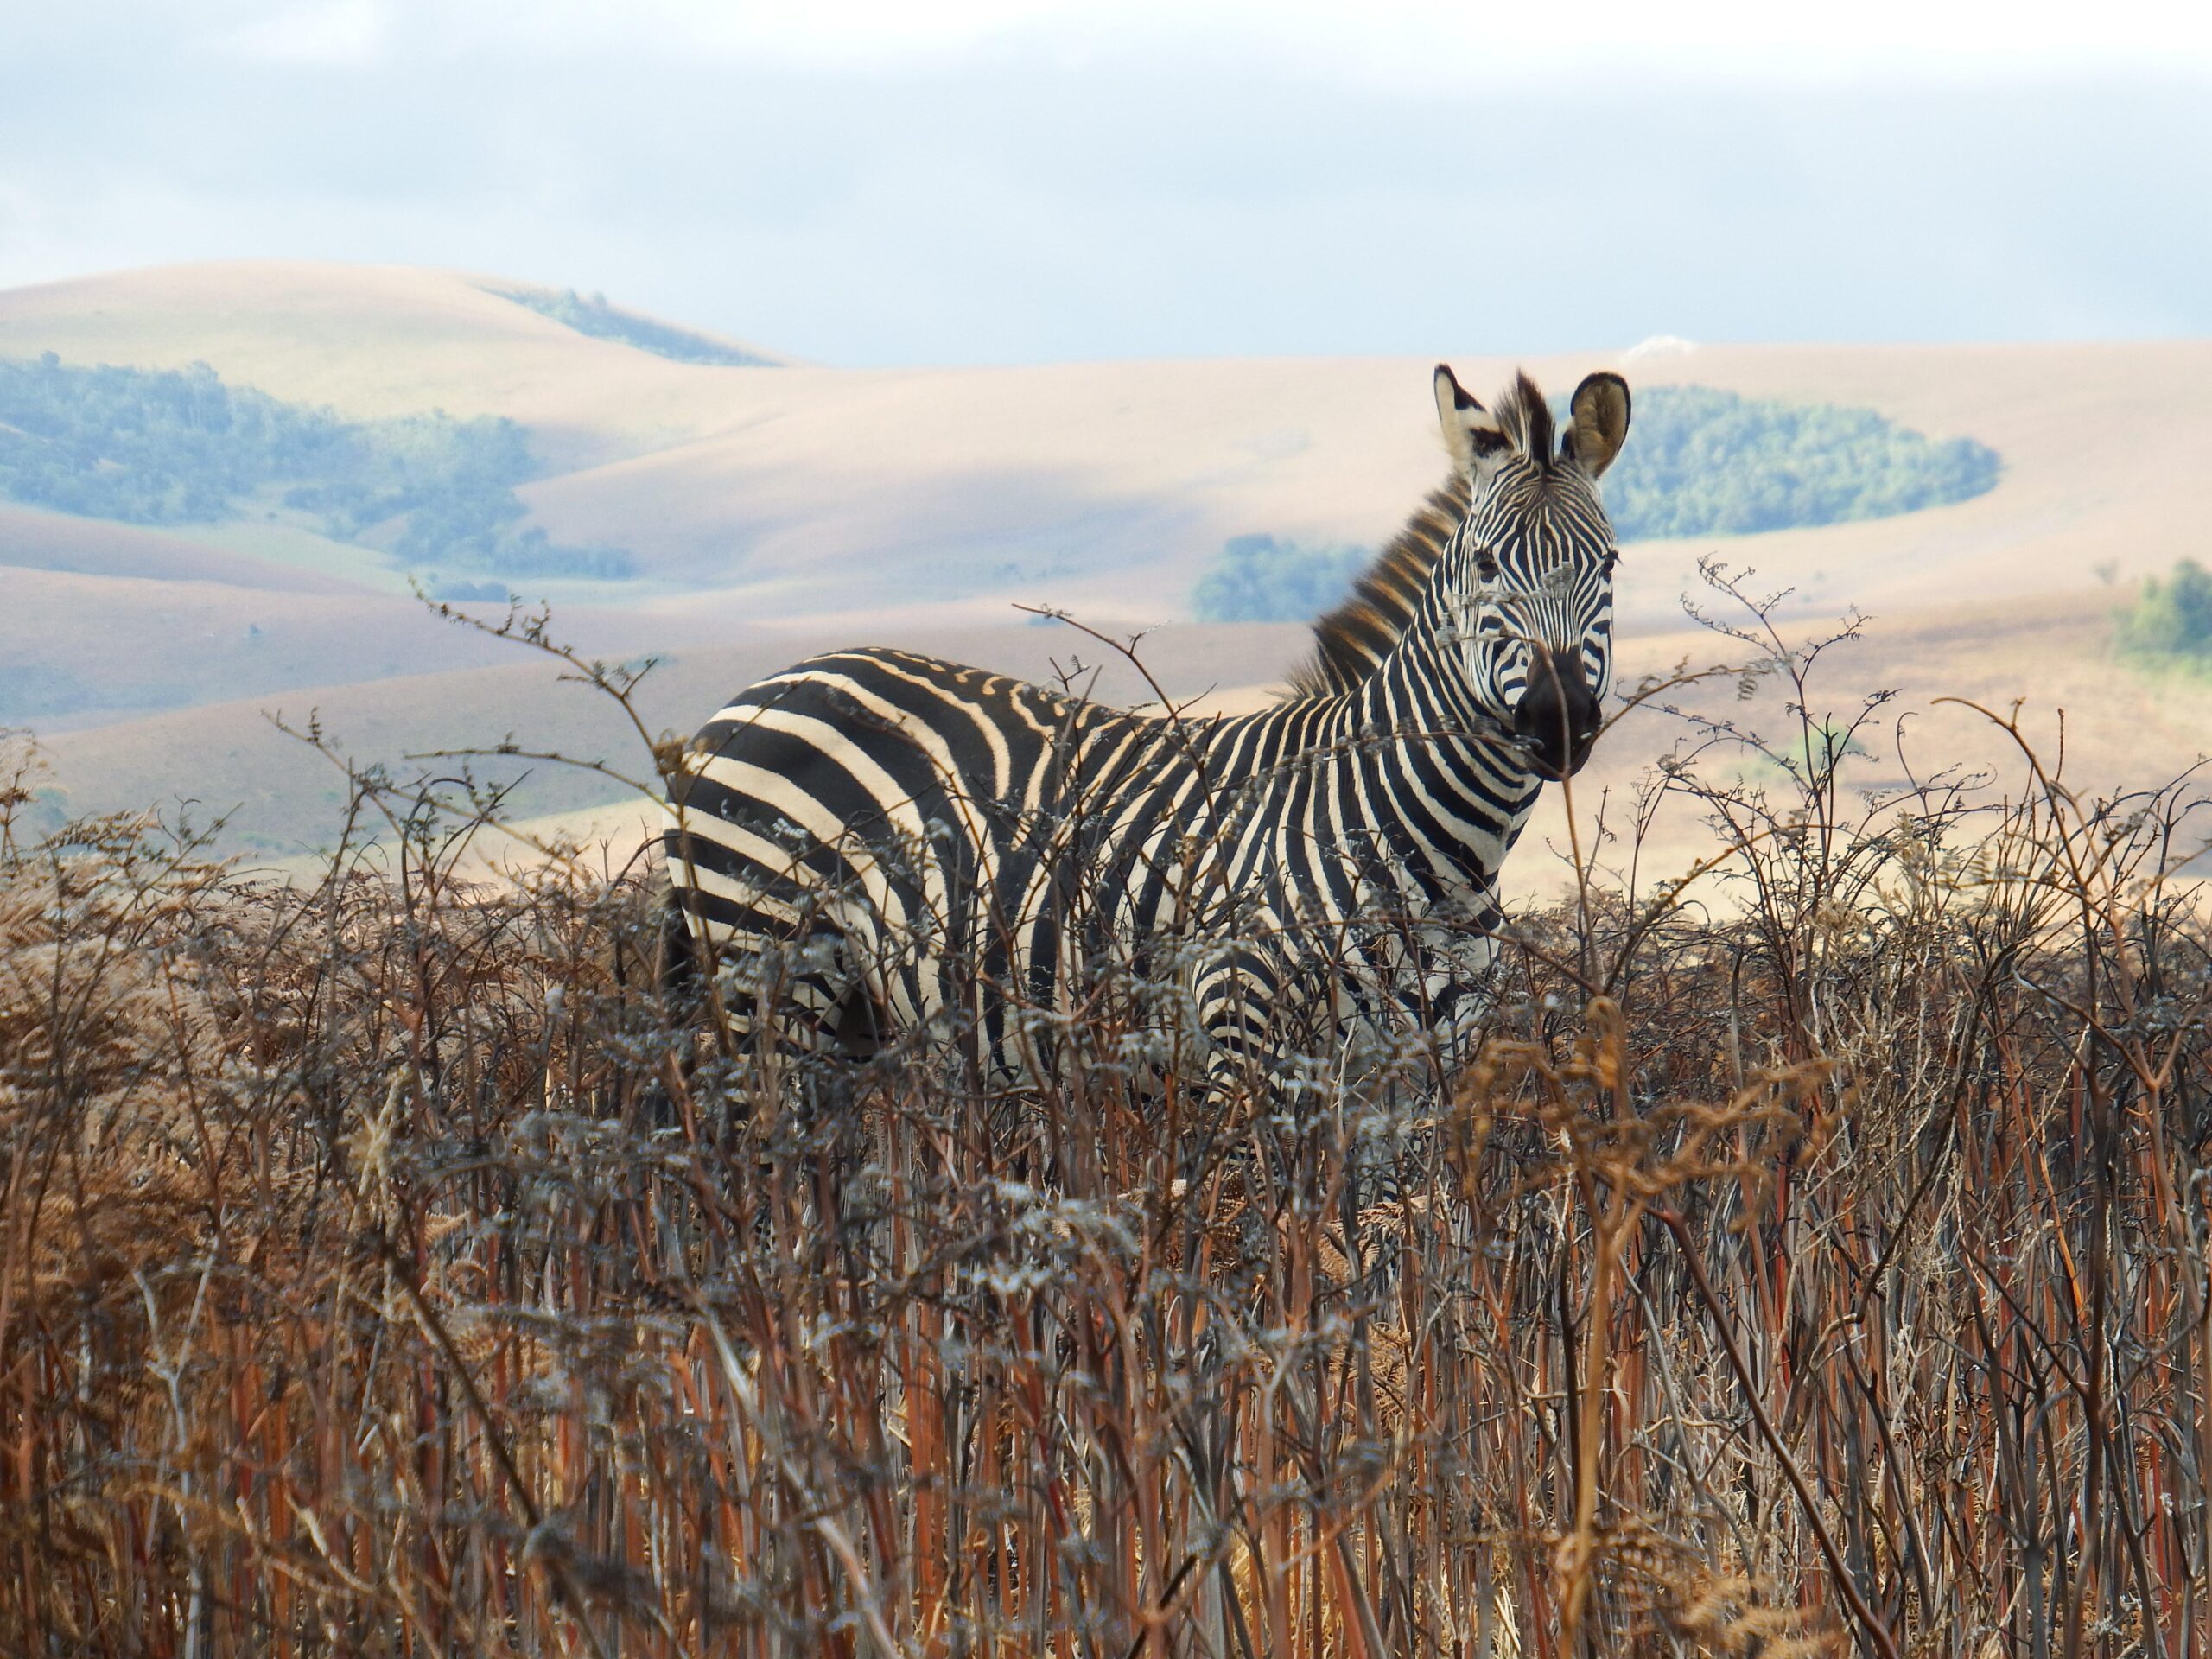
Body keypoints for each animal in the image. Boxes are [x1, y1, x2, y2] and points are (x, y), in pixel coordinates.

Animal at [654, 365, 1628, 1084]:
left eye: (1610, 564)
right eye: (1487, 564)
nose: (1559, 721)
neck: (1437, 842)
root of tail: (761, 689)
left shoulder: (1431, 1066)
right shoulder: (1246, 1032)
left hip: (852, 1013)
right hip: (762, 964)